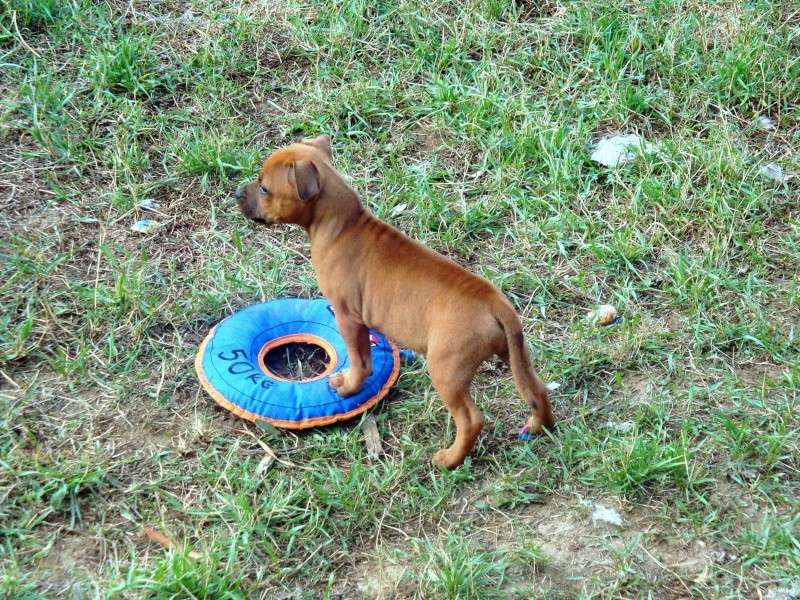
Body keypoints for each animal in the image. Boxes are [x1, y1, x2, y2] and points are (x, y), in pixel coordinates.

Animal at [234, 136, 552, 468]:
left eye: (264, 188)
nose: (236, 194)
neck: (341, 224)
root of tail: (493, 301)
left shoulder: (348, 318)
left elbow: (361, 361)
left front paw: (348, 386)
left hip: (446, 369)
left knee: (471, 420)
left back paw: (449, 459)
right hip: (513, 352)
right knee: (537, 390)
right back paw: (538, 427)